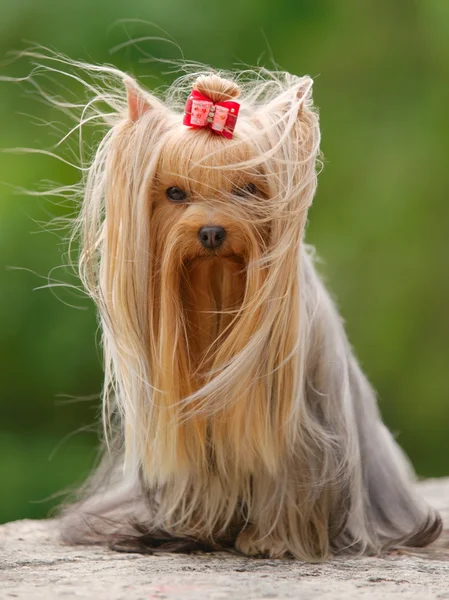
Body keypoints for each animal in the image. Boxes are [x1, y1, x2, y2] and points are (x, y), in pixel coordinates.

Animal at [29, 59, 440, 556]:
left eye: (247, 189)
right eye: (174, 193)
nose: (210, 232)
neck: (218, 290)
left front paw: (270, 540)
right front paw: (200, 529)